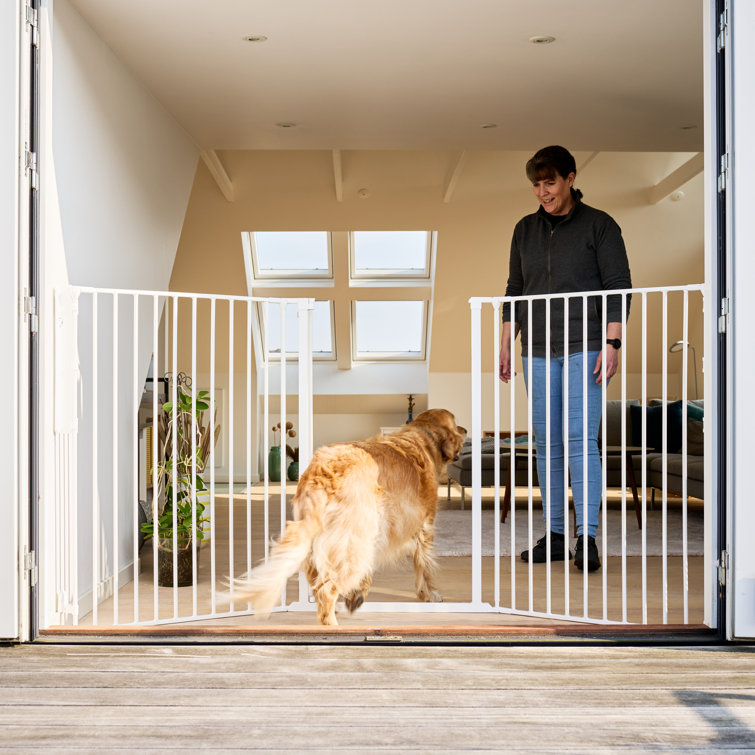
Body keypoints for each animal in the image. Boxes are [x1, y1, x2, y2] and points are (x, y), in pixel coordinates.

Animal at [230, 408, 466, 628]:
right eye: (456, 423)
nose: (465, 430)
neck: (423, 436)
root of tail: (322, 473)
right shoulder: (423, 525)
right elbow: (424, 565)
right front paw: (430, 594)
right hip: (354, 533)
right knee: (327, 589)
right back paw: (334, 624)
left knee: (319, 584)